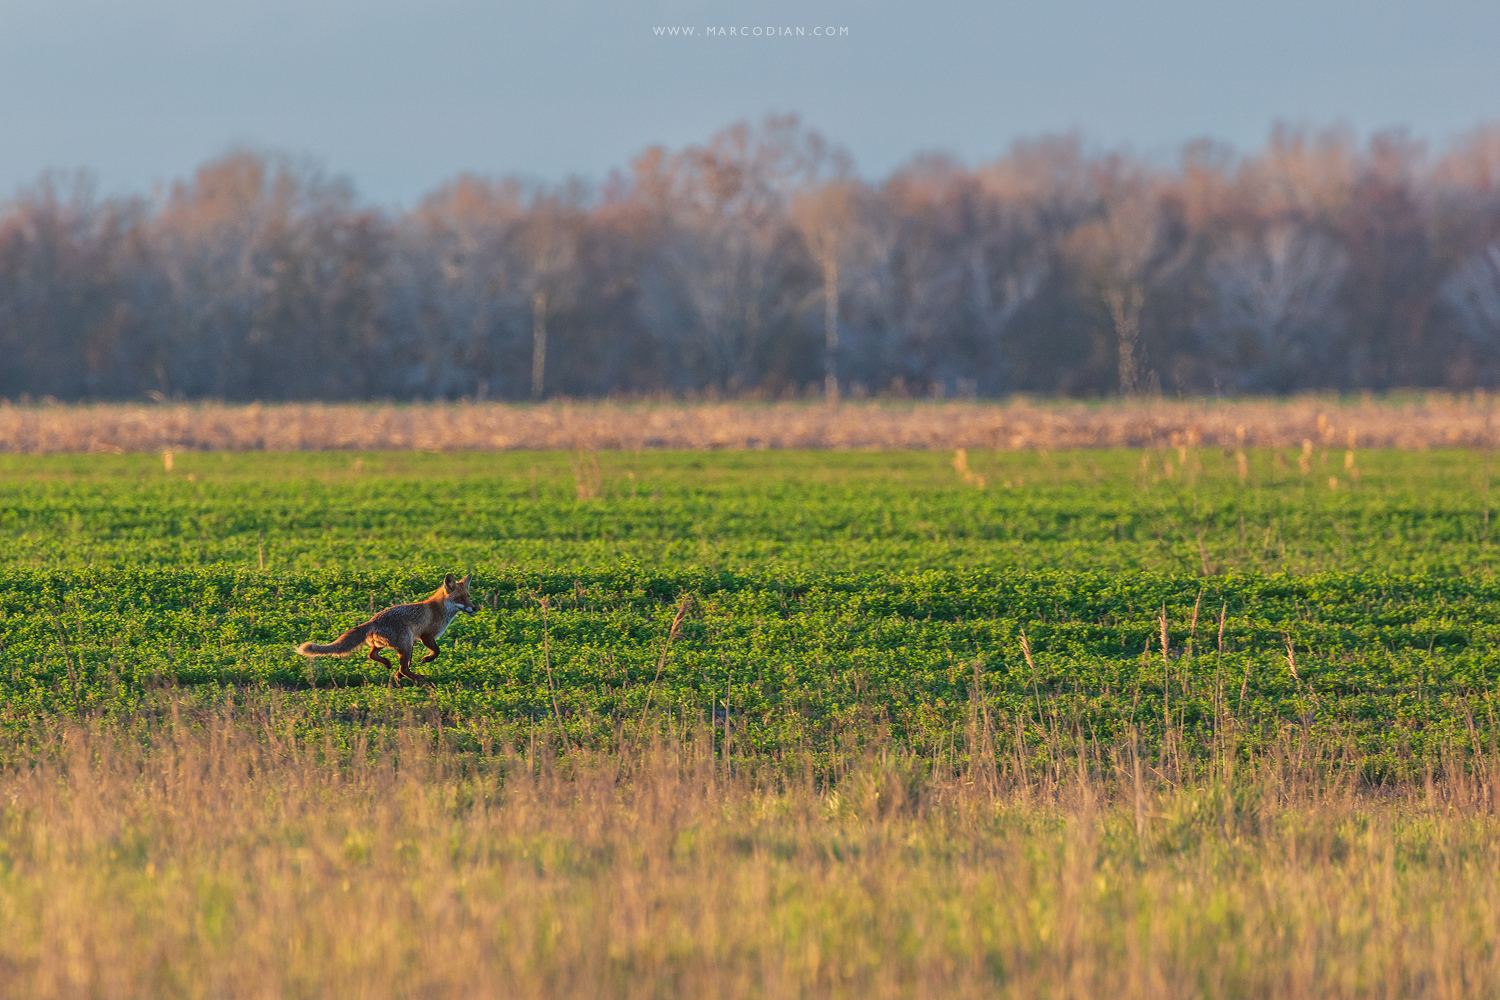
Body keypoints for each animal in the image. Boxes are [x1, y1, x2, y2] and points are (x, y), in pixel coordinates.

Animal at [296, 573, 479, 684]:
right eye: (460, 598)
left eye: (468, 597)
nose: (475, 608)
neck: (439, 609)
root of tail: (372, 620)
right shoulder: (426, 636)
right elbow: (436, 651)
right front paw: (427, 659)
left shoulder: (419, 639)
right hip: (406, 641)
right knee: (403, 667)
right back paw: (416, 678)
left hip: (394, 644)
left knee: (374, 655)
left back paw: (390, 667)